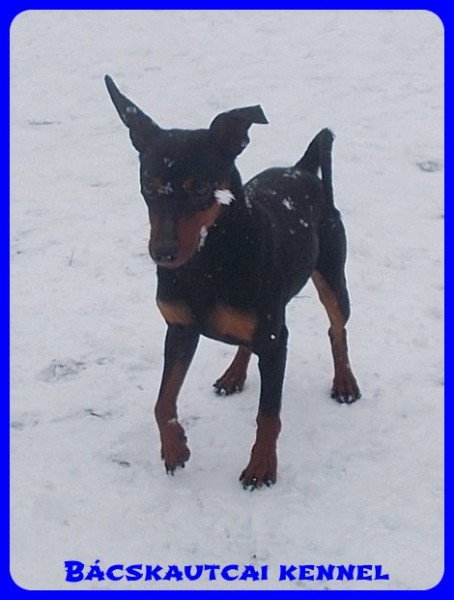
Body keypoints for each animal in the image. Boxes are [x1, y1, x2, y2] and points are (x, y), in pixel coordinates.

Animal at [105, 75, 361, 489]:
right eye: (148, 184)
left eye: (199, 187)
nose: (163, 253)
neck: (208, 263)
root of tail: (302, 169)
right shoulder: (179, 328)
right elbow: (162, 401)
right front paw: (175, 448)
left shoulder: (275, 341)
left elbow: (268, 415)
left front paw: (261, 467)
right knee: (248, 342)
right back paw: (234, 374)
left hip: (332, 277)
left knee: (337, 328)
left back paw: (345, 383)